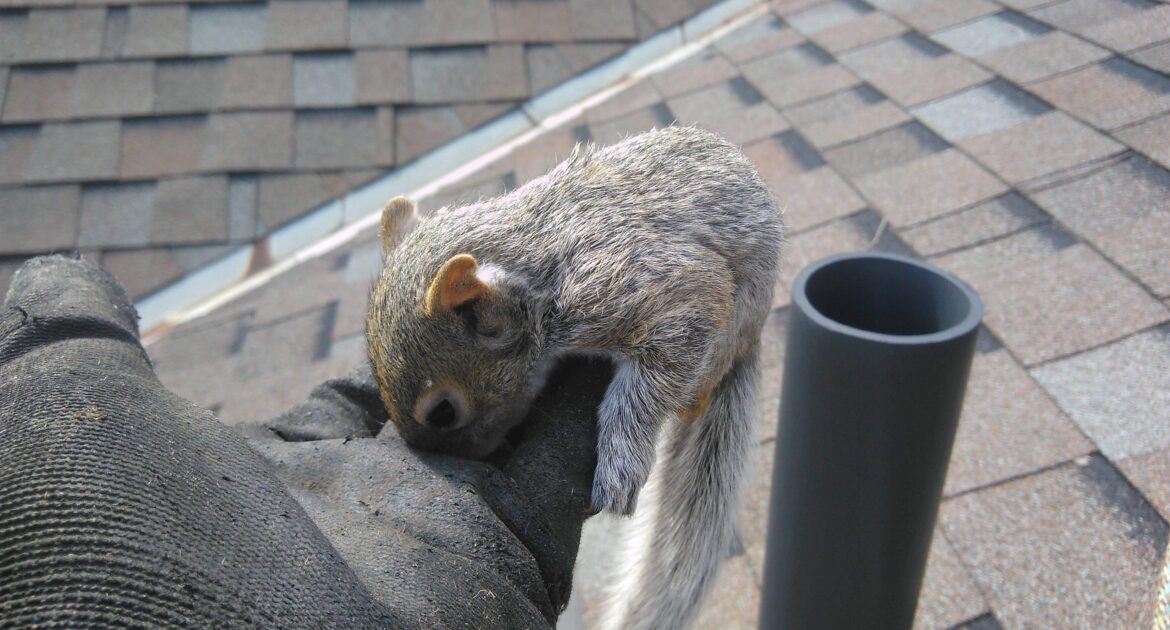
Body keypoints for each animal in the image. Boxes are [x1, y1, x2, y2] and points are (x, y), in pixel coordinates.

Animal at [366, 126, 783, 629]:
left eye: (444, 412)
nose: (475, 459)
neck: (535, 271)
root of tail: (753, 335)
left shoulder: (641, 284)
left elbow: (675, 337)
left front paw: (622, 459)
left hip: (732, 329)